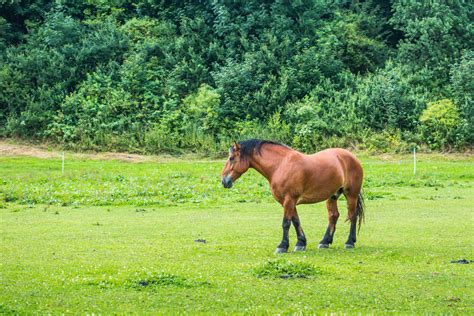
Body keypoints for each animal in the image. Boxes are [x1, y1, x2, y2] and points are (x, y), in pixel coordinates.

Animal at [220, 139, 364, 253]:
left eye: (231, 158)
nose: (224, 181)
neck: (280, 165)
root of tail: (351, 156)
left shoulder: (289, 200)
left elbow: (286, 223)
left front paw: (282, 246)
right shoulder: (289, 202)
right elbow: (295, 221)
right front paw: (301, 243)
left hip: (351, 195)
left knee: (352, 216)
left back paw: (349, 242)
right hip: (332, 196)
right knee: (333, 216)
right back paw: (325, 241)